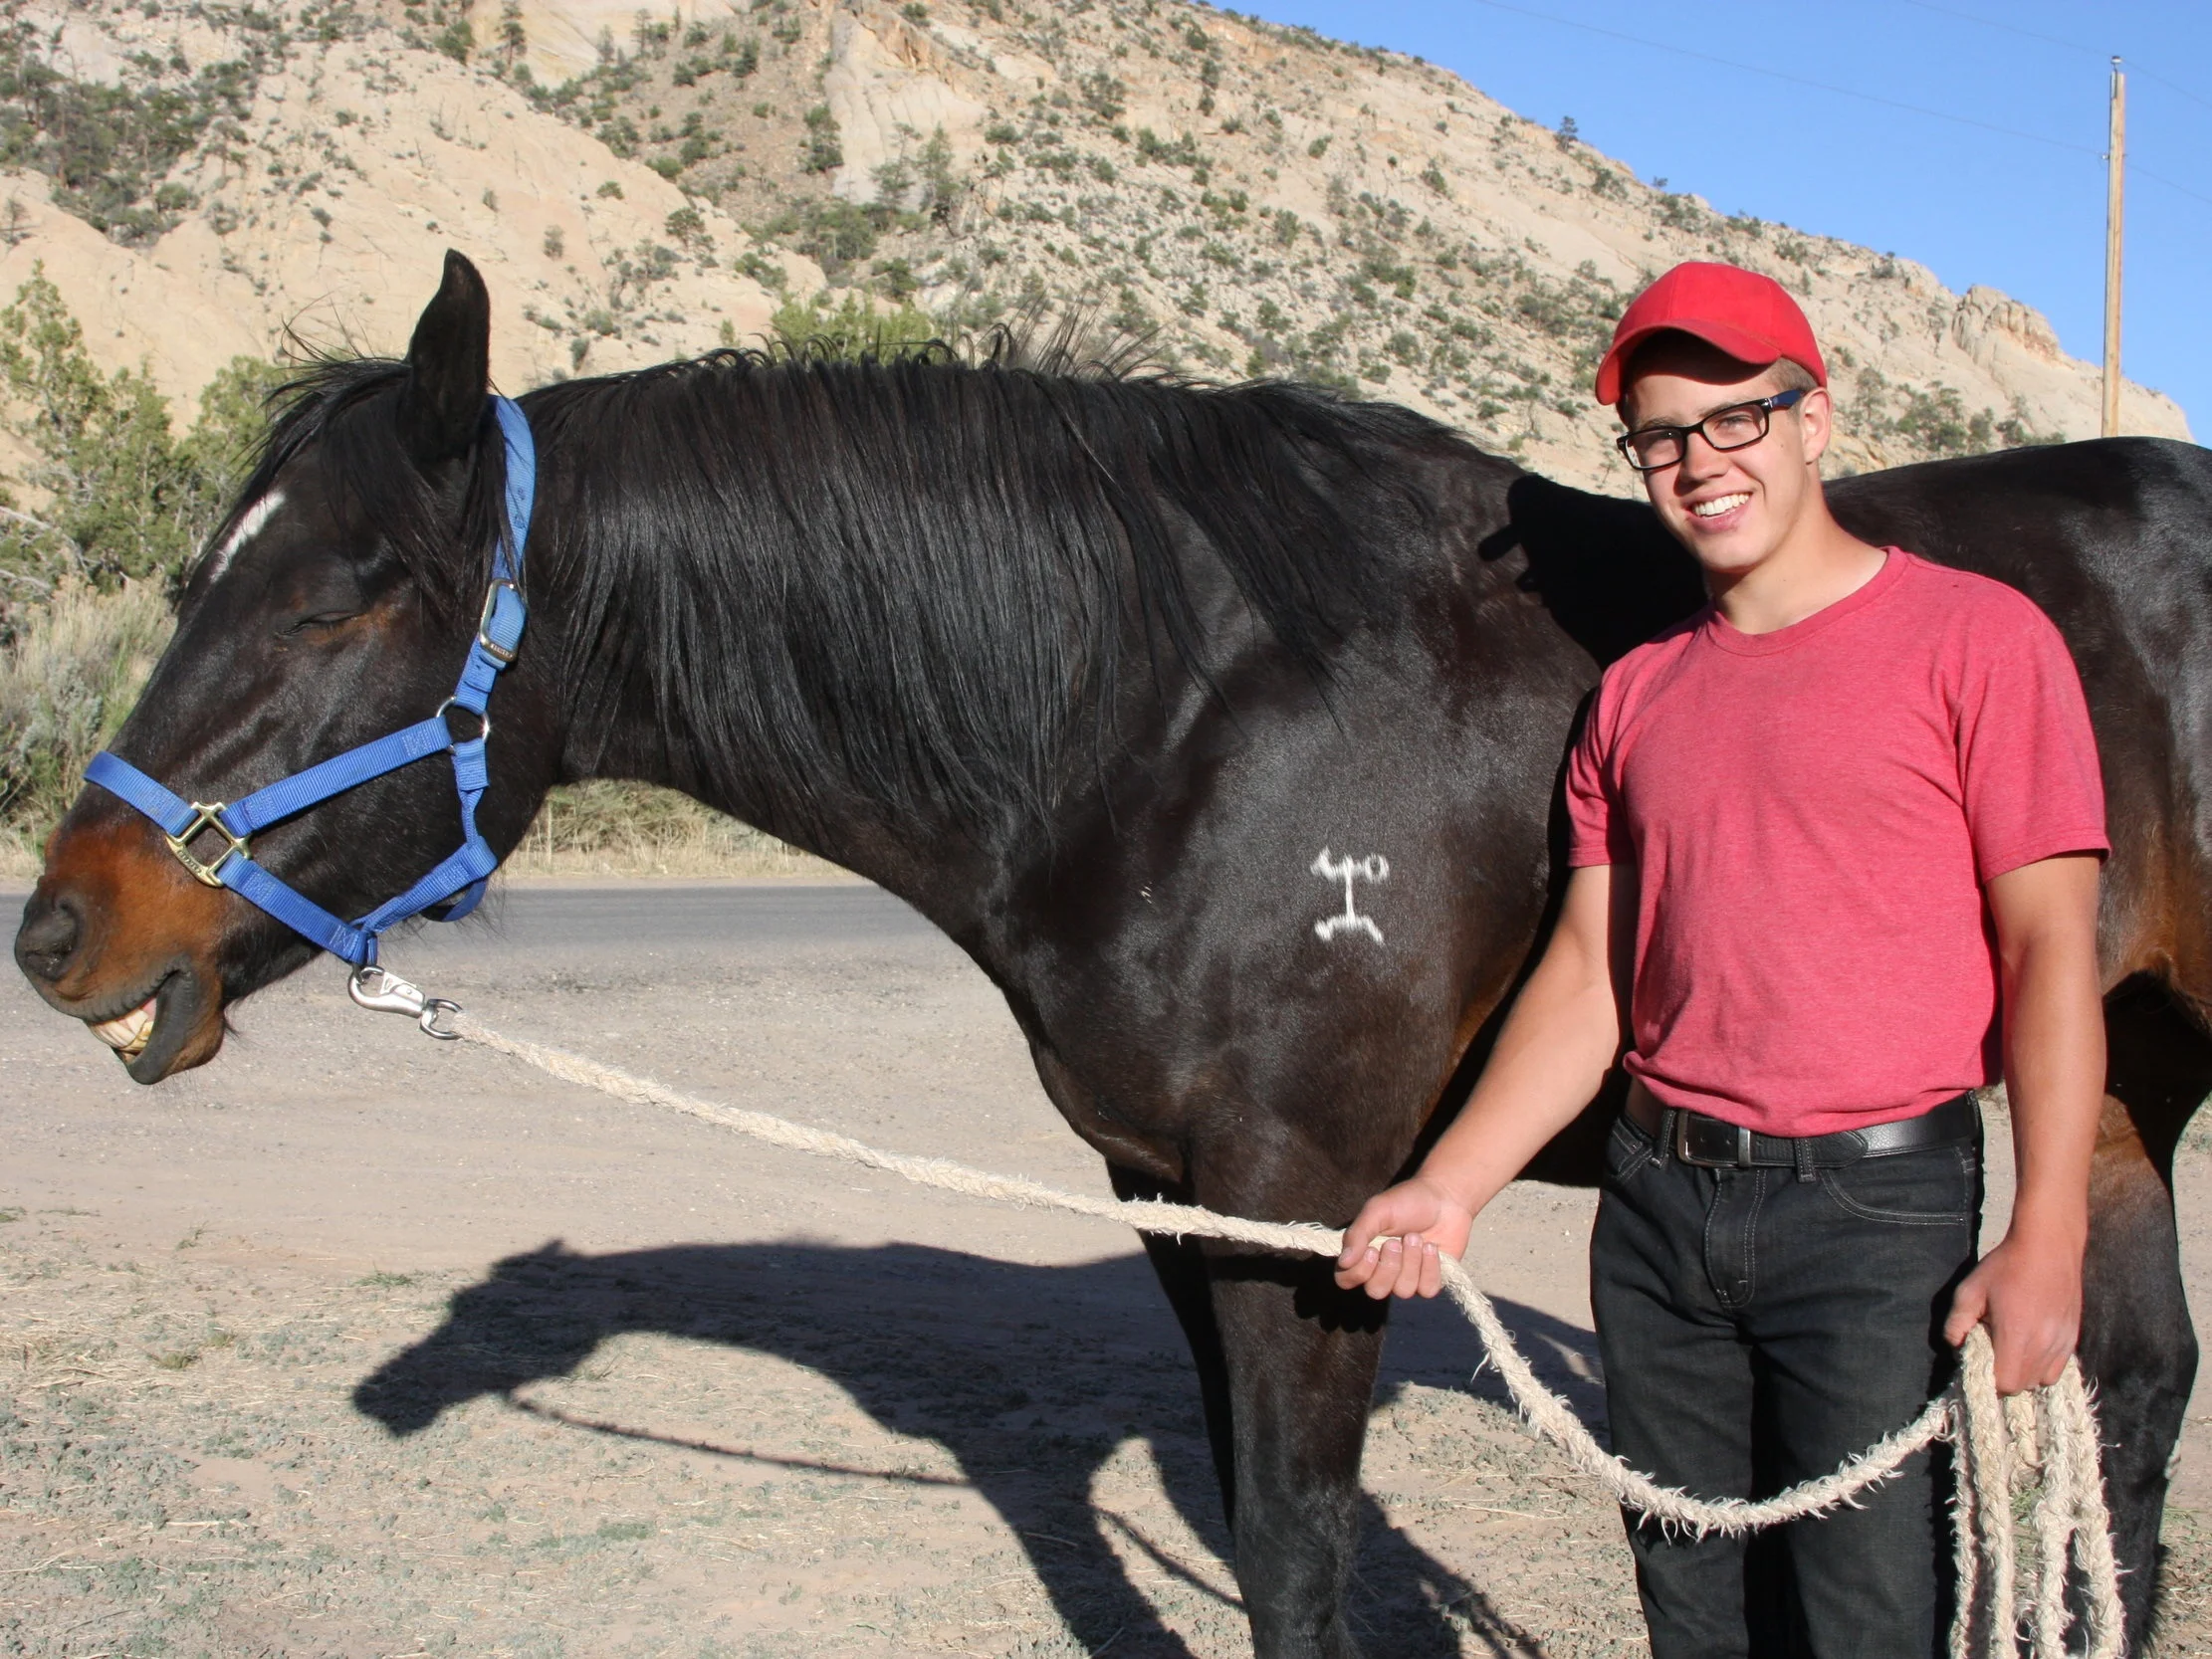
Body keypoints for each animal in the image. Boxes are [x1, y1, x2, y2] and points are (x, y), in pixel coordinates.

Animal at [12, 250, 2207, 1655]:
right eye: (210, 563)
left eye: (353, 588)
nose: (59, 923)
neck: (1172, 712)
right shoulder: (1170, 1197)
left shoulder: (1304, 1215)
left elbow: (1300, 1559)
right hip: (2112, 1098)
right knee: (2120, 1398)